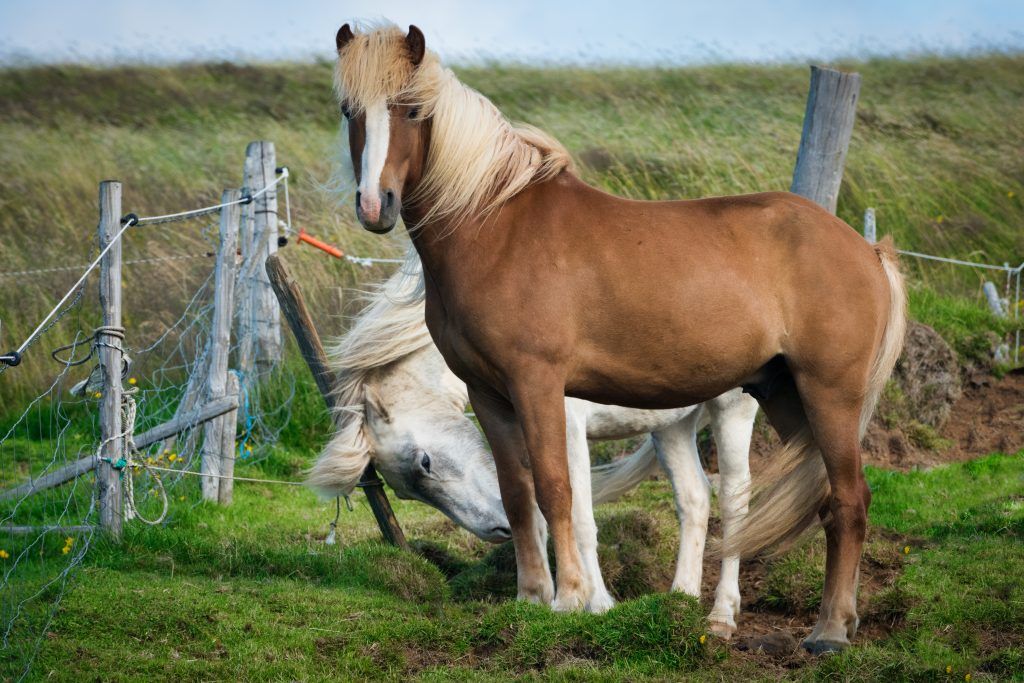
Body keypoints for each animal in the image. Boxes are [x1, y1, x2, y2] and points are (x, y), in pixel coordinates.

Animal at [307, 259, 757, 638]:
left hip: (733, 409)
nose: (493, 532)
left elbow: (577, 518)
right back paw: (679, 600)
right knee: (694, 498)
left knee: (734, 502)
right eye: (403, 494)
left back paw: (721, 616)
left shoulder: (566, 428)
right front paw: (542, 597)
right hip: (671, 423)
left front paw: (595, 604)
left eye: (425, 462)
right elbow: (532, 512)